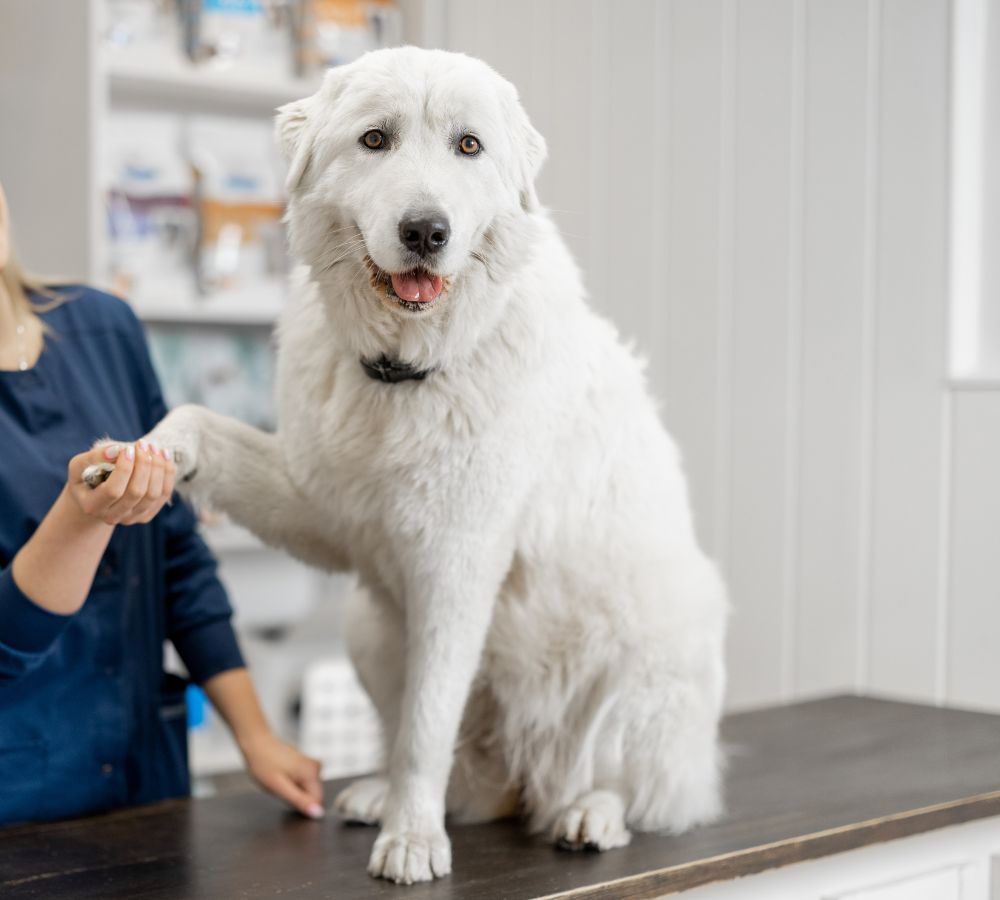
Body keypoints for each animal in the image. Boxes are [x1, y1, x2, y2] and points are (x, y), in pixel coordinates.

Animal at [146, 45, 728, 884]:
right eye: (375, 140)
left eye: (469, 146)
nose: (426, 230)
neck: (405, 369)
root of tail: (523, 784)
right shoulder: (320, 509)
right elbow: (199, 424)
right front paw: (146, 456)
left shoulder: (457, 565)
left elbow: (427, 724)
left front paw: (414, 841)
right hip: (367, 624)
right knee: (454, 764)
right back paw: (387, 795)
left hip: (645, 640)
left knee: (630, 782)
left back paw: (588, 812)